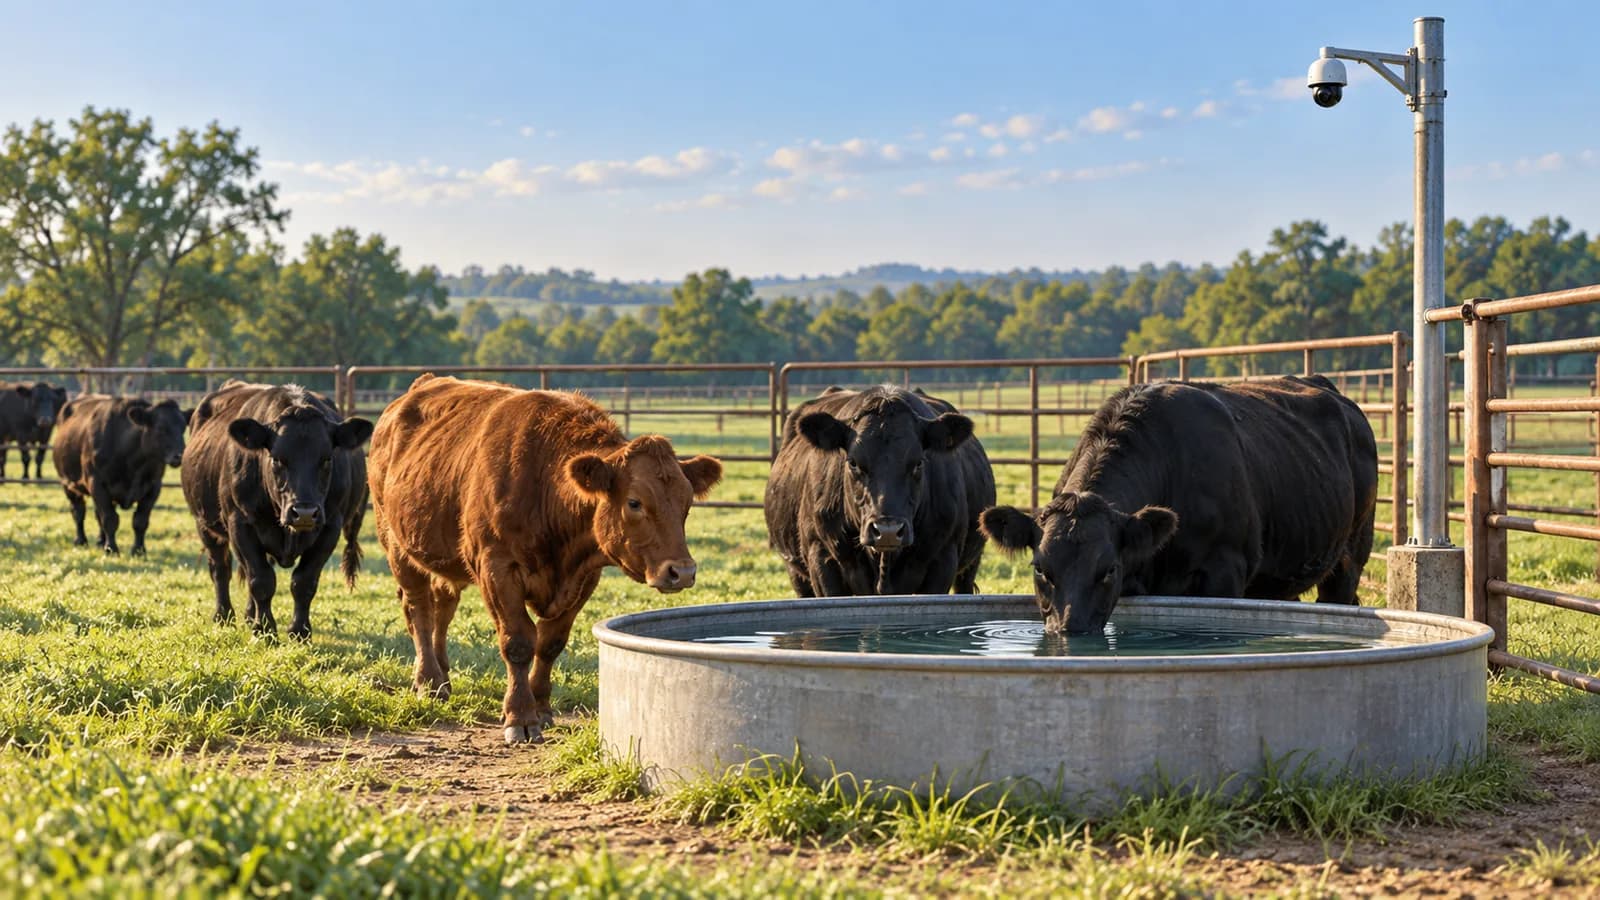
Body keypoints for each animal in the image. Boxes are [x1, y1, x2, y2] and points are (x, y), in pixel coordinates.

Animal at [51, 395, 191, 556]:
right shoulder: (97, 483)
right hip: (68, 484)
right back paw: (81, 541)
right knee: (78, 512)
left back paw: (100, 541)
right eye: (161, 428)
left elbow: (140, 521)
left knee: (97, 515)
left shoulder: (154, 486)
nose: (180, 456)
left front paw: (138, 550)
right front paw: (111, 548)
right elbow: (109, 519)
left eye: (183, 428)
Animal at [181, 381, 372, 640]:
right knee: (221, 568)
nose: (304, 512)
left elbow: (304, 582)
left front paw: (299, 631)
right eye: (277, 459)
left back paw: (249, 615)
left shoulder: (330, 526)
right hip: (205, 525)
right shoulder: (240, 523)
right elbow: (261, 580)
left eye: (327, 459)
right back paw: (224, 615)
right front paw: (264, 630)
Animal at [367, 374, 723, 744]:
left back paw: (443, 676)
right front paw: (520, 716)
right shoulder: (498, 569)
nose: (682, 571)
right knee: (418, 610)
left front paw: (541, 708)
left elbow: (550, 643)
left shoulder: (584, 578)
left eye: (686, 502)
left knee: (442, 608)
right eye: (635, 502)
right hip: (397, 545)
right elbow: (519, 642)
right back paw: (430, 681)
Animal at [764, 385, 996, 597]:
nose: (887, 531)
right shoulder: (821, 558)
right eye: (853, 462)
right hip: (796, 571)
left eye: (918, 463)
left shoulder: (943, 559)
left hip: (969, 566)